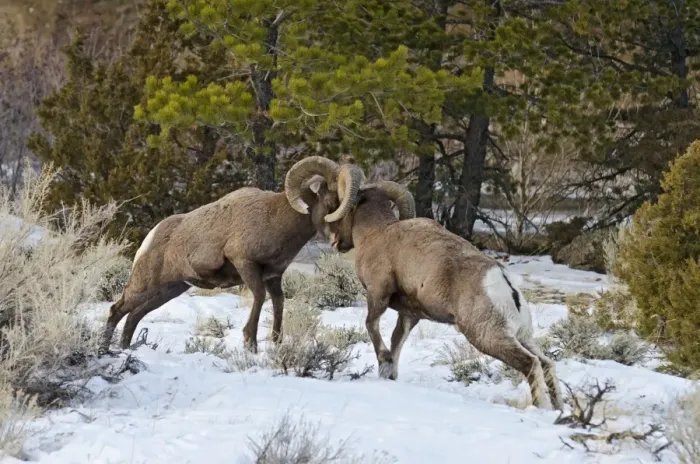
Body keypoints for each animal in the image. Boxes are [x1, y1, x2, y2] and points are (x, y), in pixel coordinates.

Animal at [99, 156, 366, 355]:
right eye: (332, 201)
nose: (341, 242)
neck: (275, 219)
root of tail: (152, 237)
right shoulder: (245, 264)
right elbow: (259, 298)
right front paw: (251, 345)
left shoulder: (274, 276)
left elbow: (278, 303)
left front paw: (276, 343)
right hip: (145, 286)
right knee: (117, 310)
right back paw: (105, 350)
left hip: (169, 290)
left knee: (133, 316)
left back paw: (124, 349)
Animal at [322, 180, 564, 410]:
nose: (334, 241)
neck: (378, 233)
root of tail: (505, 283)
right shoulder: (410, 314)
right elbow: (396, 341)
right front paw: (390, 375)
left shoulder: (378, 293)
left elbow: (372, 326)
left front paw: (384, 362)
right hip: (522, 336)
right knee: (546, 363)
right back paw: (559, 410)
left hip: (488, 337)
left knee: (530, 364)